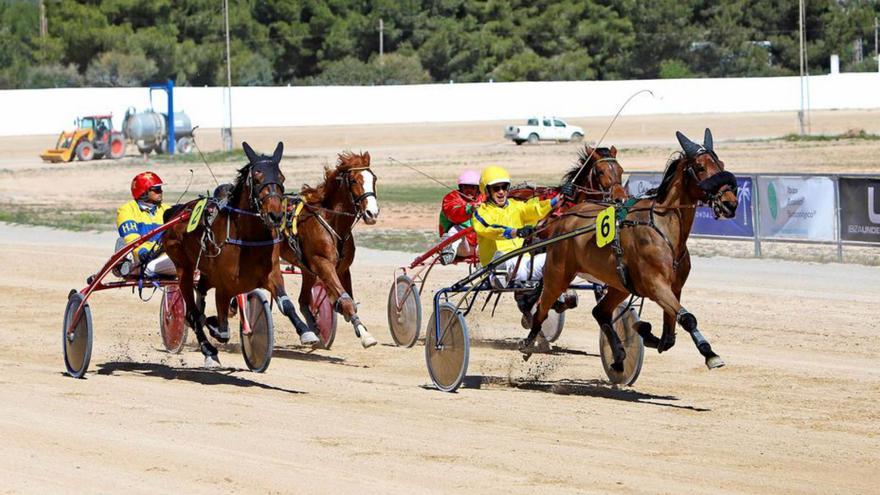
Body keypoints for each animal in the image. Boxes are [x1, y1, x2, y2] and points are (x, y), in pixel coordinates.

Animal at [163, 141, 312, 366]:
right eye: (257, 177)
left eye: (281, 178)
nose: (275, 215)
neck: (249, 238)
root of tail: (177, 210)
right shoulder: (225, 283)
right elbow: (222, 328)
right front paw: (214, 327)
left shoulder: (271, 274)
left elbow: (285, 304)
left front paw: (306, 331)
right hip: (184, 268)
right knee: (192, 312)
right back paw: (208, 349)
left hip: (206, 271)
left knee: (202, 292)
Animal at [268, 151, 378, 348]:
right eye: (354, 180)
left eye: (374, 179)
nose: (372, 213)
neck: (332, 221)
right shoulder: (323, 263)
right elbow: (347, 301)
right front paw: (365, 335)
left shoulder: (342, 269)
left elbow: (347, 299)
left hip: (307, 270)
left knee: (303, 300)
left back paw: (313, 329)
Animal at [524, 130, 740, 370]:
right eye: (701, 167)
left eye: (721, 164)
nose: (730, 203)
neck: (662, 227)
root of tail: (565, 218)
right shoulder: (656, 285)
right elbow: (687, 318)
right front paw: (710, 353)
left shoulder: (674, 288)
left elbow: (669, 335)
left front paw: (646, 332)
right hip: (557, 274)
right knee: (542, 306)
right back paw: (530, 340)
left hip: (620, 284)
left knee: (600, 312)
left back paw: (618, 357)